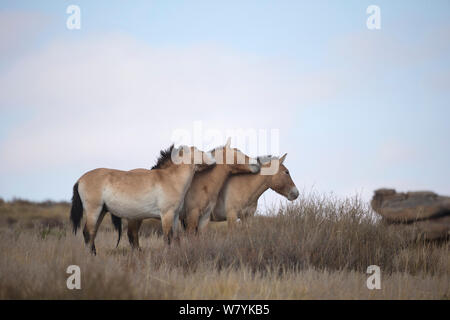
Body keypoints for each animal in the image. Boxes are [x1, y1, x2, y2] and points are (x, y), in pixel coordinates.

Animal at [70, 144, 216, 252]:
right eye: (198, 151)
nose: (213, 160)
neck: (170, 179)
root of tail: (80, 179)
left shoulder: (174, 216)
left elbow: (175, 238)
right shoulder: (166, 215)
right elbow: (167, 238)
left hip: (101, 211)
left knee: (92, 234)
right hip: (93, 210)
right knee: (88, 233)